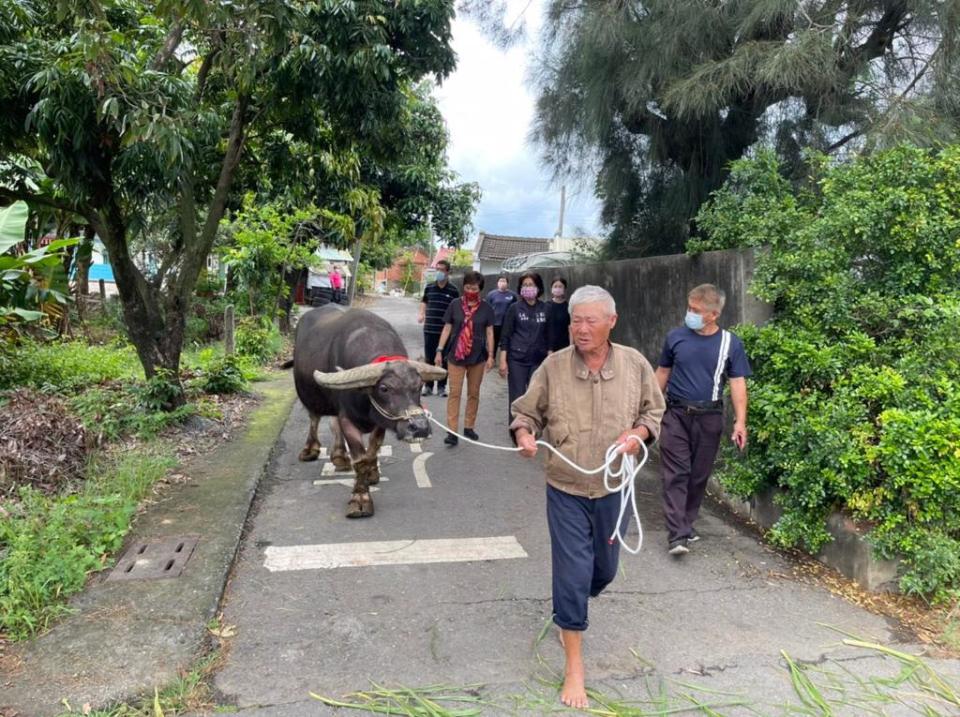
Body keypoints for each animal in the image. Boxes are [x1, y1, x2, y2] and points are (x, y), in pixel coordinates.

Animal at [292, 304, 446, 516]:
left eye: (419, 385)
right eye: (384, 388)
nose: (421, 428)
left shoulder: (379, 420)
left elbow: (373, 449)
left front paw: (373, 473)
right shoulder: (347, 418)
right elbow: (360, 459)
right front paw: (360, 498)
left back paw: (339, 456)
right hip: (309, 395)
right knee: (314, 418)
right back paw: (310, 450)